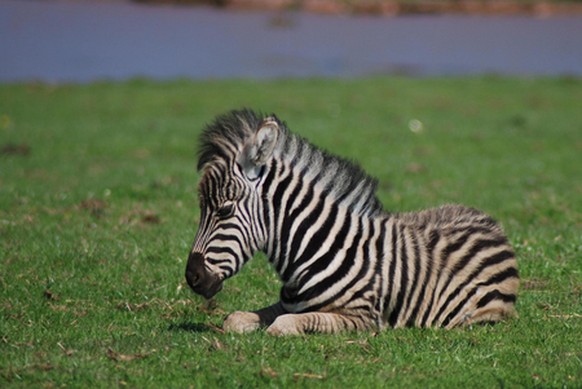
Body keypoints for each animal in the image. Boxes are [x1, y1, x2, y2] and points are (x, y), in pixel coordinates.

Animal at [186, 108, 520, 334]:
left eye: (224, 210)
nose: (192, 277)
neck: (315, 251)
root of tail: (488, 220)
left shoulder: (363, 318)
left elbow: (285, 324)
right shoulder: (287, 303)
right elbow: (236, 319)